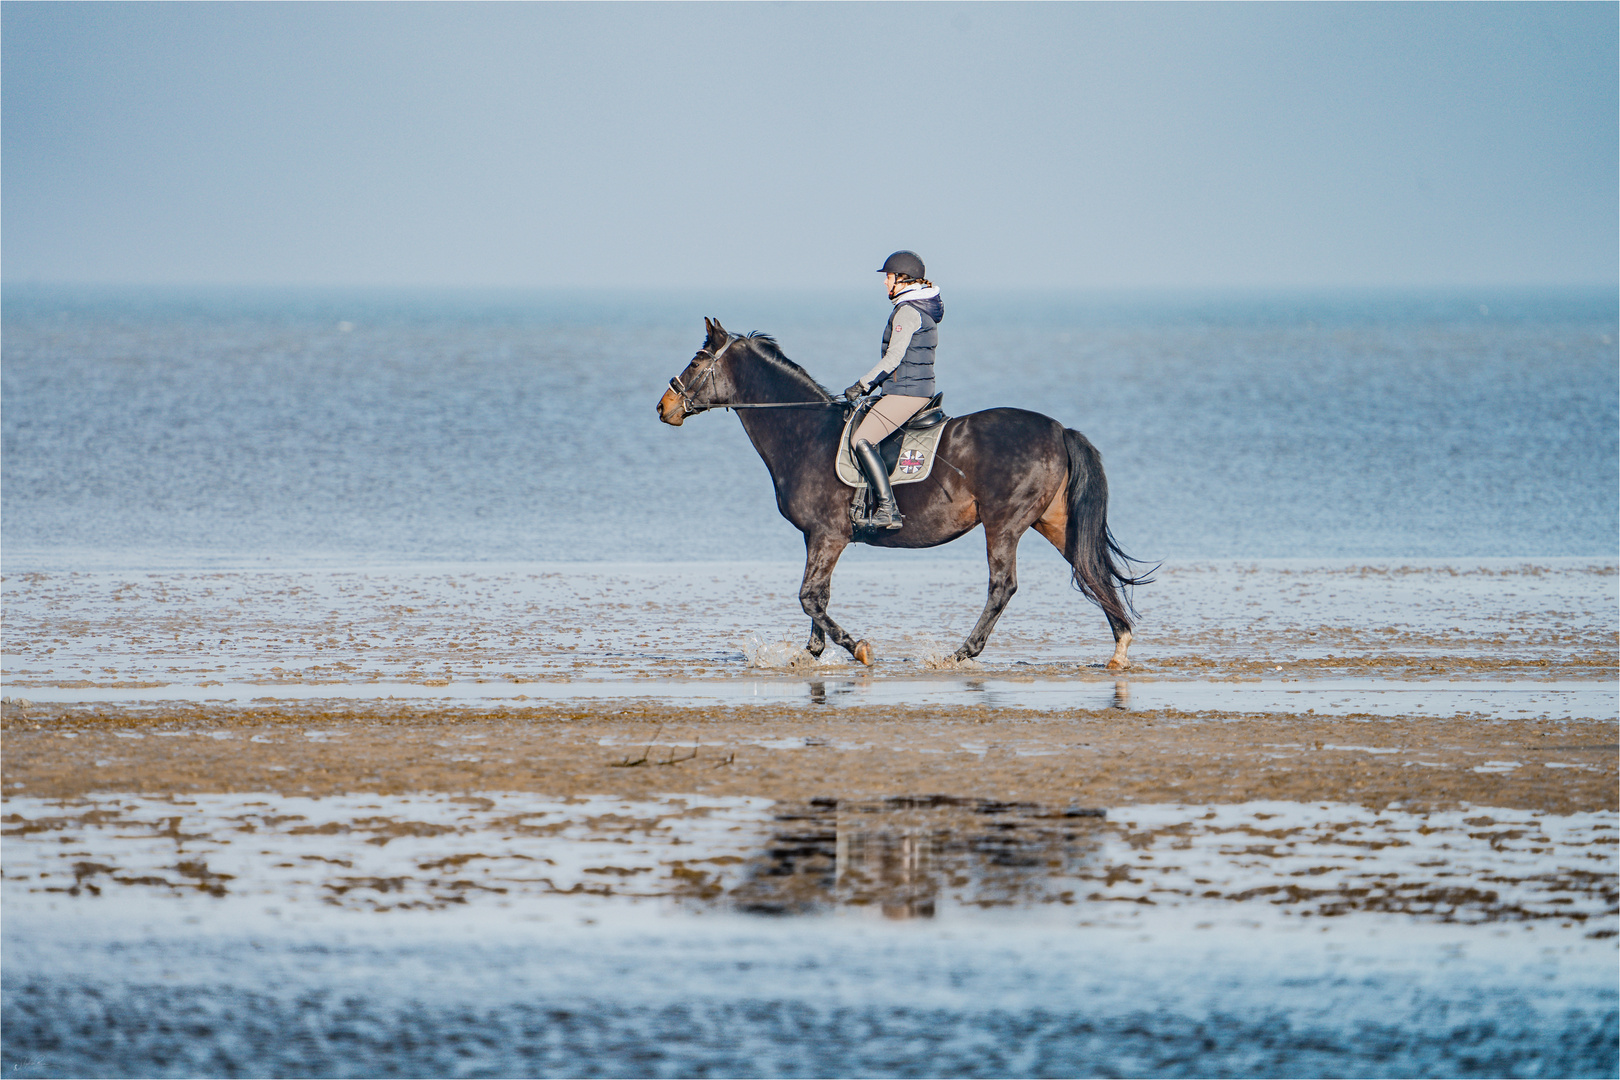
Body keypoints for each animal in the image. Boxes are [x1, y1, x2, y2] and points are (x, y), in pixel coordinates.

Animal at [651, 317, 1146, 667]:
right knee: (1090, 568)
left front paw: (857, 648)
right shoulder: (816, 537)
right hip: (1054, 521)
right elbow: (817, 597)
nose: (663, 407)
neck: (803, 432)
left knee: (1003, 585)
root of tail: (1059, 430)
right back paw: (1119, 647)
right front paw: (809, 653)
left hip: (1004, 523)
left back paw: (960, 653)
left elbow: (809, 595)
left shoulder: (828, 535)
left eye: (696, 361)